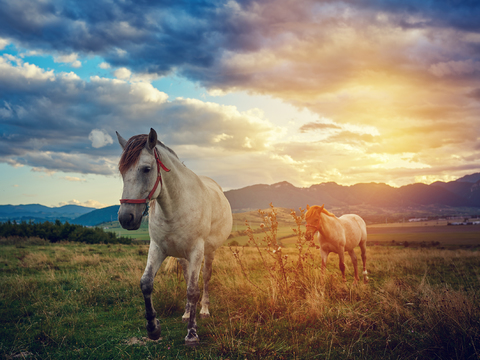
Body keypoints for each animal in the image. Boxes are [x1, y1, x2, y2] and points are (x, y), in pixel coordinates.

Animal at [114, 128, 231, 344]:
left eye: (146, 169)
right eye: (122, 171)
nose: (126, 218)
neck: (175, 207)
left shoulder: (197, 250)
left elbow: (193, 290)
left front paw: (192, 334)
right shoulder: (157, 248)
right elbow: (146, 283)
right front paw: (153, 328)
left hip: (209, 252)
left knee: (205, 278)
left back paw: (203, 310)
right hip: (181, 255)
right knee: (186, 276)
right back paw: (186, 313)